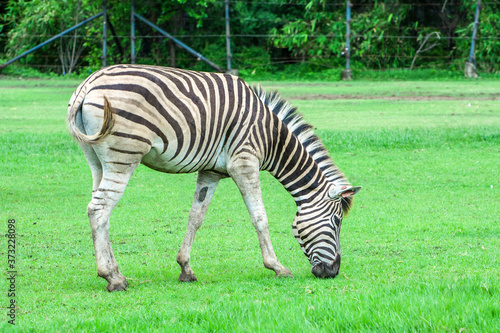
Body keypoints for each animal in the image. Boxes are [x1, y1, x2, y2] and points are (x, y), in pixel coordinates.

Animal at [68, 64, 362, 290]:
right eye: (337, 222)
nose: (333, 272)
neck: (271, 137)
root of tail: (88, 83)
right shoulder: (245, 163)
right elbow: (260, 217)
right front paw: (277, 267)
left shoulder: (211, 171)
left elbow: (196, 217)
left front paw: (186, 269)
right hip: (124, 155)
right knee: (98, 210)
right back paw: (112, 278)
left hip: (97, 161)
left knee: (100, 213)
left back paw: (117, 273)